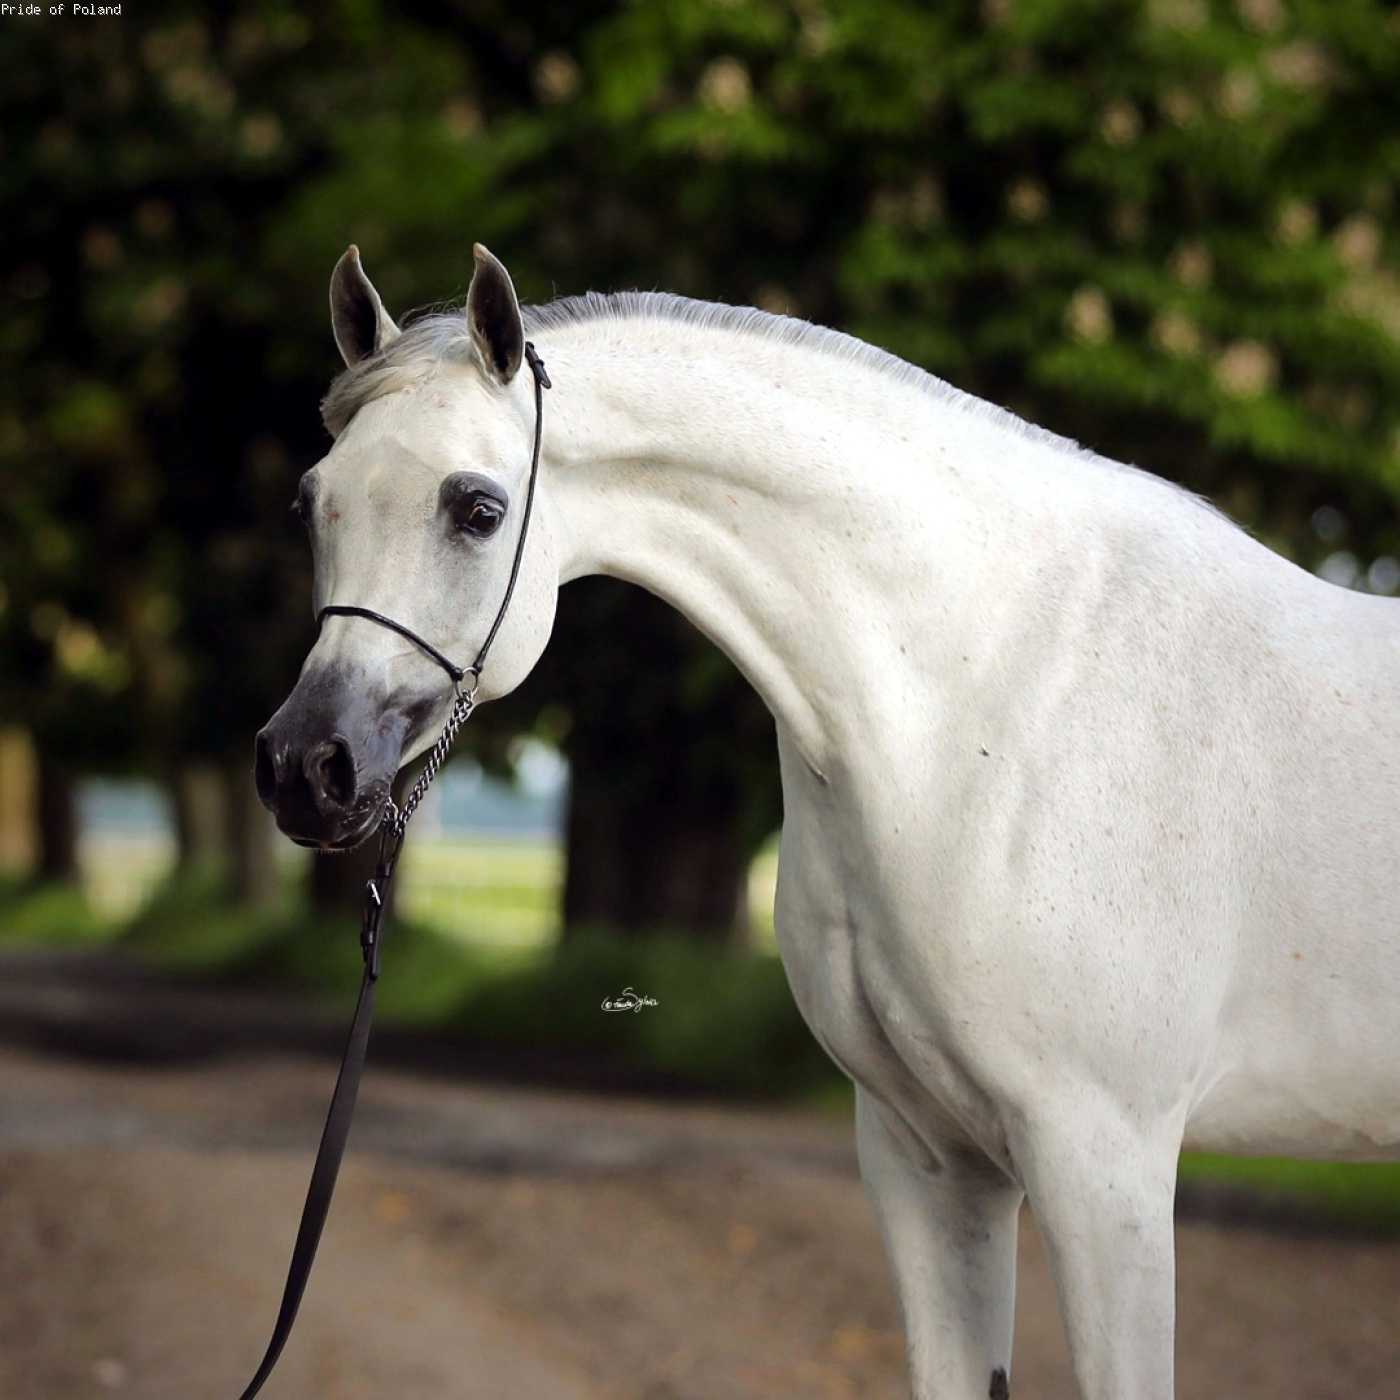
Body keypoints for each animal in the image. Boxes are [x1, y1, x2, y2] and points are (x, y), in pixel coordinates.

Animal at [254, 242, 1400, 1398]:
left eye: (478, 509)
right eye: (309, 504)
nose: (305, 767)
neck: (1001, 694)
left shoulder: (1103, 1163)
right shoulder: (926, 1157)